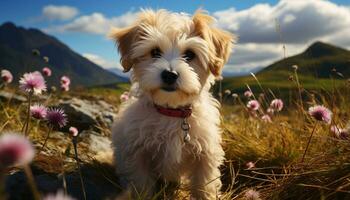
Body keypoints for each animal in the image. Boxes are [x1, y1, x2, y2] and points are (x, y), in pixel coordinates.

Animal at [110, 9, 234, 200]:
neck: (172, 112)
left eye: (190, 54)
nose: (169, 74)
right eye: (155, 52)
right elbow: (142, 185)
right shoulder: (138, 154)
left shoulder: (205, 155)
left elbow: (204, 186)